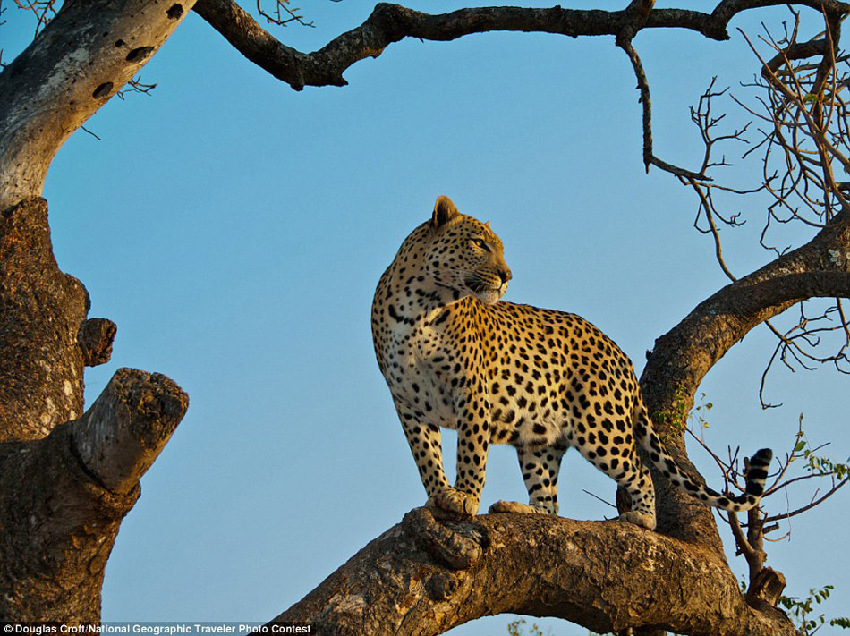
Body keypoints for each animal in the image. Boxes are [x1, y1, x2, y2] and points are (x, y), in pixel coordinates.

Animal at [370, 195, 768, 532]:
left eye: (499, 248)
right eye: (479, 244)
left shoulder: (470, 390)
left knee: (639, 468)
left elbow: (470, 450)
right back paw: (520, 509)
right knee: (549, 502)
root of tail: (618, 351)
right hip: (538, 438)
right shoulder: (406, 401)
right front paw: (439, 495)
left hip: (601, 426)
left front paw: (465, 496)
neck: (421, 307)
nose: (507, 275)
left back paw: (643, 517)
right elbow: (426, 455)